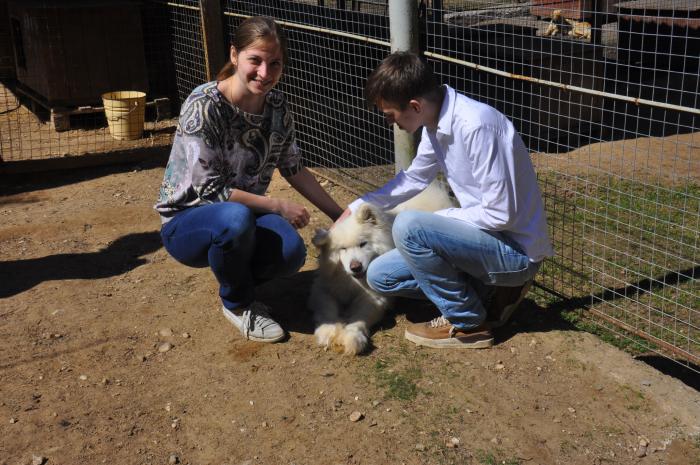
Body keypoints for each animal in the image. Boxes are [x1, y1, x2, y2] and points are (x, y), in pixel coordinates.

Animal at [309, 182, 454, 355]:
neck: (354, 283)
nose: (355, 267)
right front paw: (328, 332)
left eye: (363, 244)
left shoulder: (375, 297)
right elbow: (328, 311)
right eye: (342, 249)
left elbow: (358, 318)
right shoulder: (324, 289)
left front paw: (352, 338)